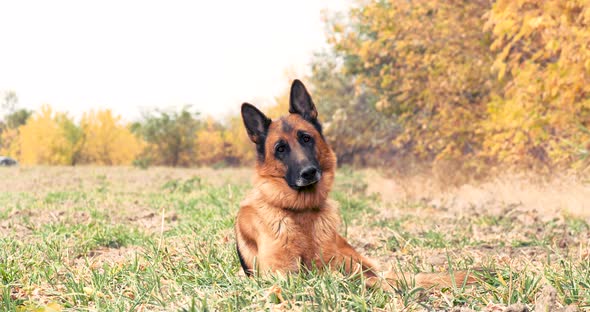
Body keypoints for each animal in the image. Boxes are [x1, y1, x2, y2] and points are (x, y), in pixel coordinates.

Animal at [236, 79, 476, 288]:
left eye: (306, 138)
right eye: (280, 149)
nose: (309, 172)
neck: (302, 211)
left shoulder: (329, 266)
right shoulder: (280, 274)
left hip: (353, 260)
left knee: (377, 275)